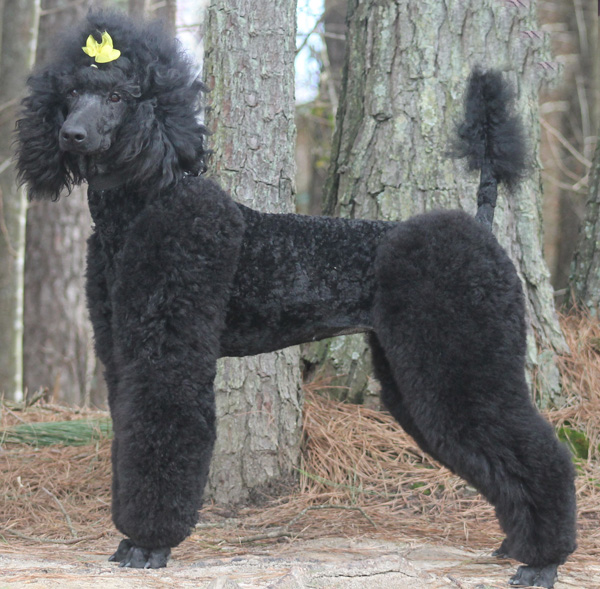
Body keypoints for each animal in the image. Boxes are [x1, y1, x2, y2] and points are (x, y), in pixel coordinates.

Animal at [15, 11, 576, 588]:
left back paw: (543, 561)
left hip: (463, 359)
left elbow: (163, 431)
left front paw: (149, 545)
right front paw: (130, 539)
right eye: (72, 92)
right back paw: (515, 545)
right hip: (413, 374)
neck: (146, 200)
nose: (71, 134)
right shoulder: (121, 352)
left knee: (545, 454)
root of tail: (482, 229)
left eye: (118, 97)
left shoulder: (168, 352)